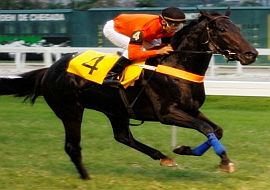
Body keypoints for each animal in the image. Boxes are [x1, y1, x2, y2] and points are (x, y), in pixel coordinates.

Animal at [0, 10, 258, 180]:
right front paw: (225, 162)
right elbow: (205, 128)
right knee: (73, 146)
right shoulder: (167, 113)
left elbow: (216, 130)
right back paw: (86, 178)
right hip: (70, 110)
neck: (176, 64)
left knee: (123, 137)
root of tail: (49, 70)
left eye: (238, 28)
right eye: (222, 30)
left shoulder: (191, 109)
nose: (251, 54)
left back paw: (164, 157)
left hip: (115, 110)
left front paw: (182, 150)